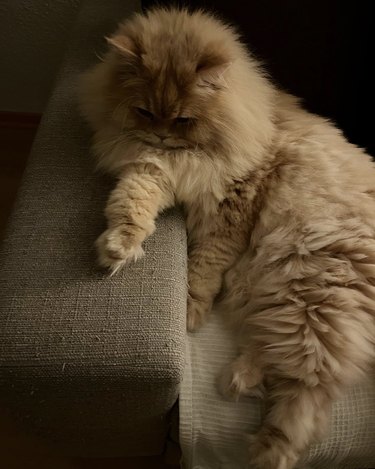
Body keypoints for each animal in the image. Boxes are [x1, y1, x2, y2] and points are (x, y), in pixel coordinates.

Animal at [79, 8, 375, 468]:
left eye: (183, 120)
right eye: (145, 112)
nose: (162, 135)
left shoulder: (232, 209)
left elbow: (204, 267)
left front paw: (189, 310)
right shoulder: (151, 170)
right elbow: (132, 205)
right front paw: (119, 247)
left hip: (309, 289)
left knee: (309, 389)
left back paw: (265, 445)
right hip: (286, 298)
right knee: (278, 356)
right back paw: (238, 380)